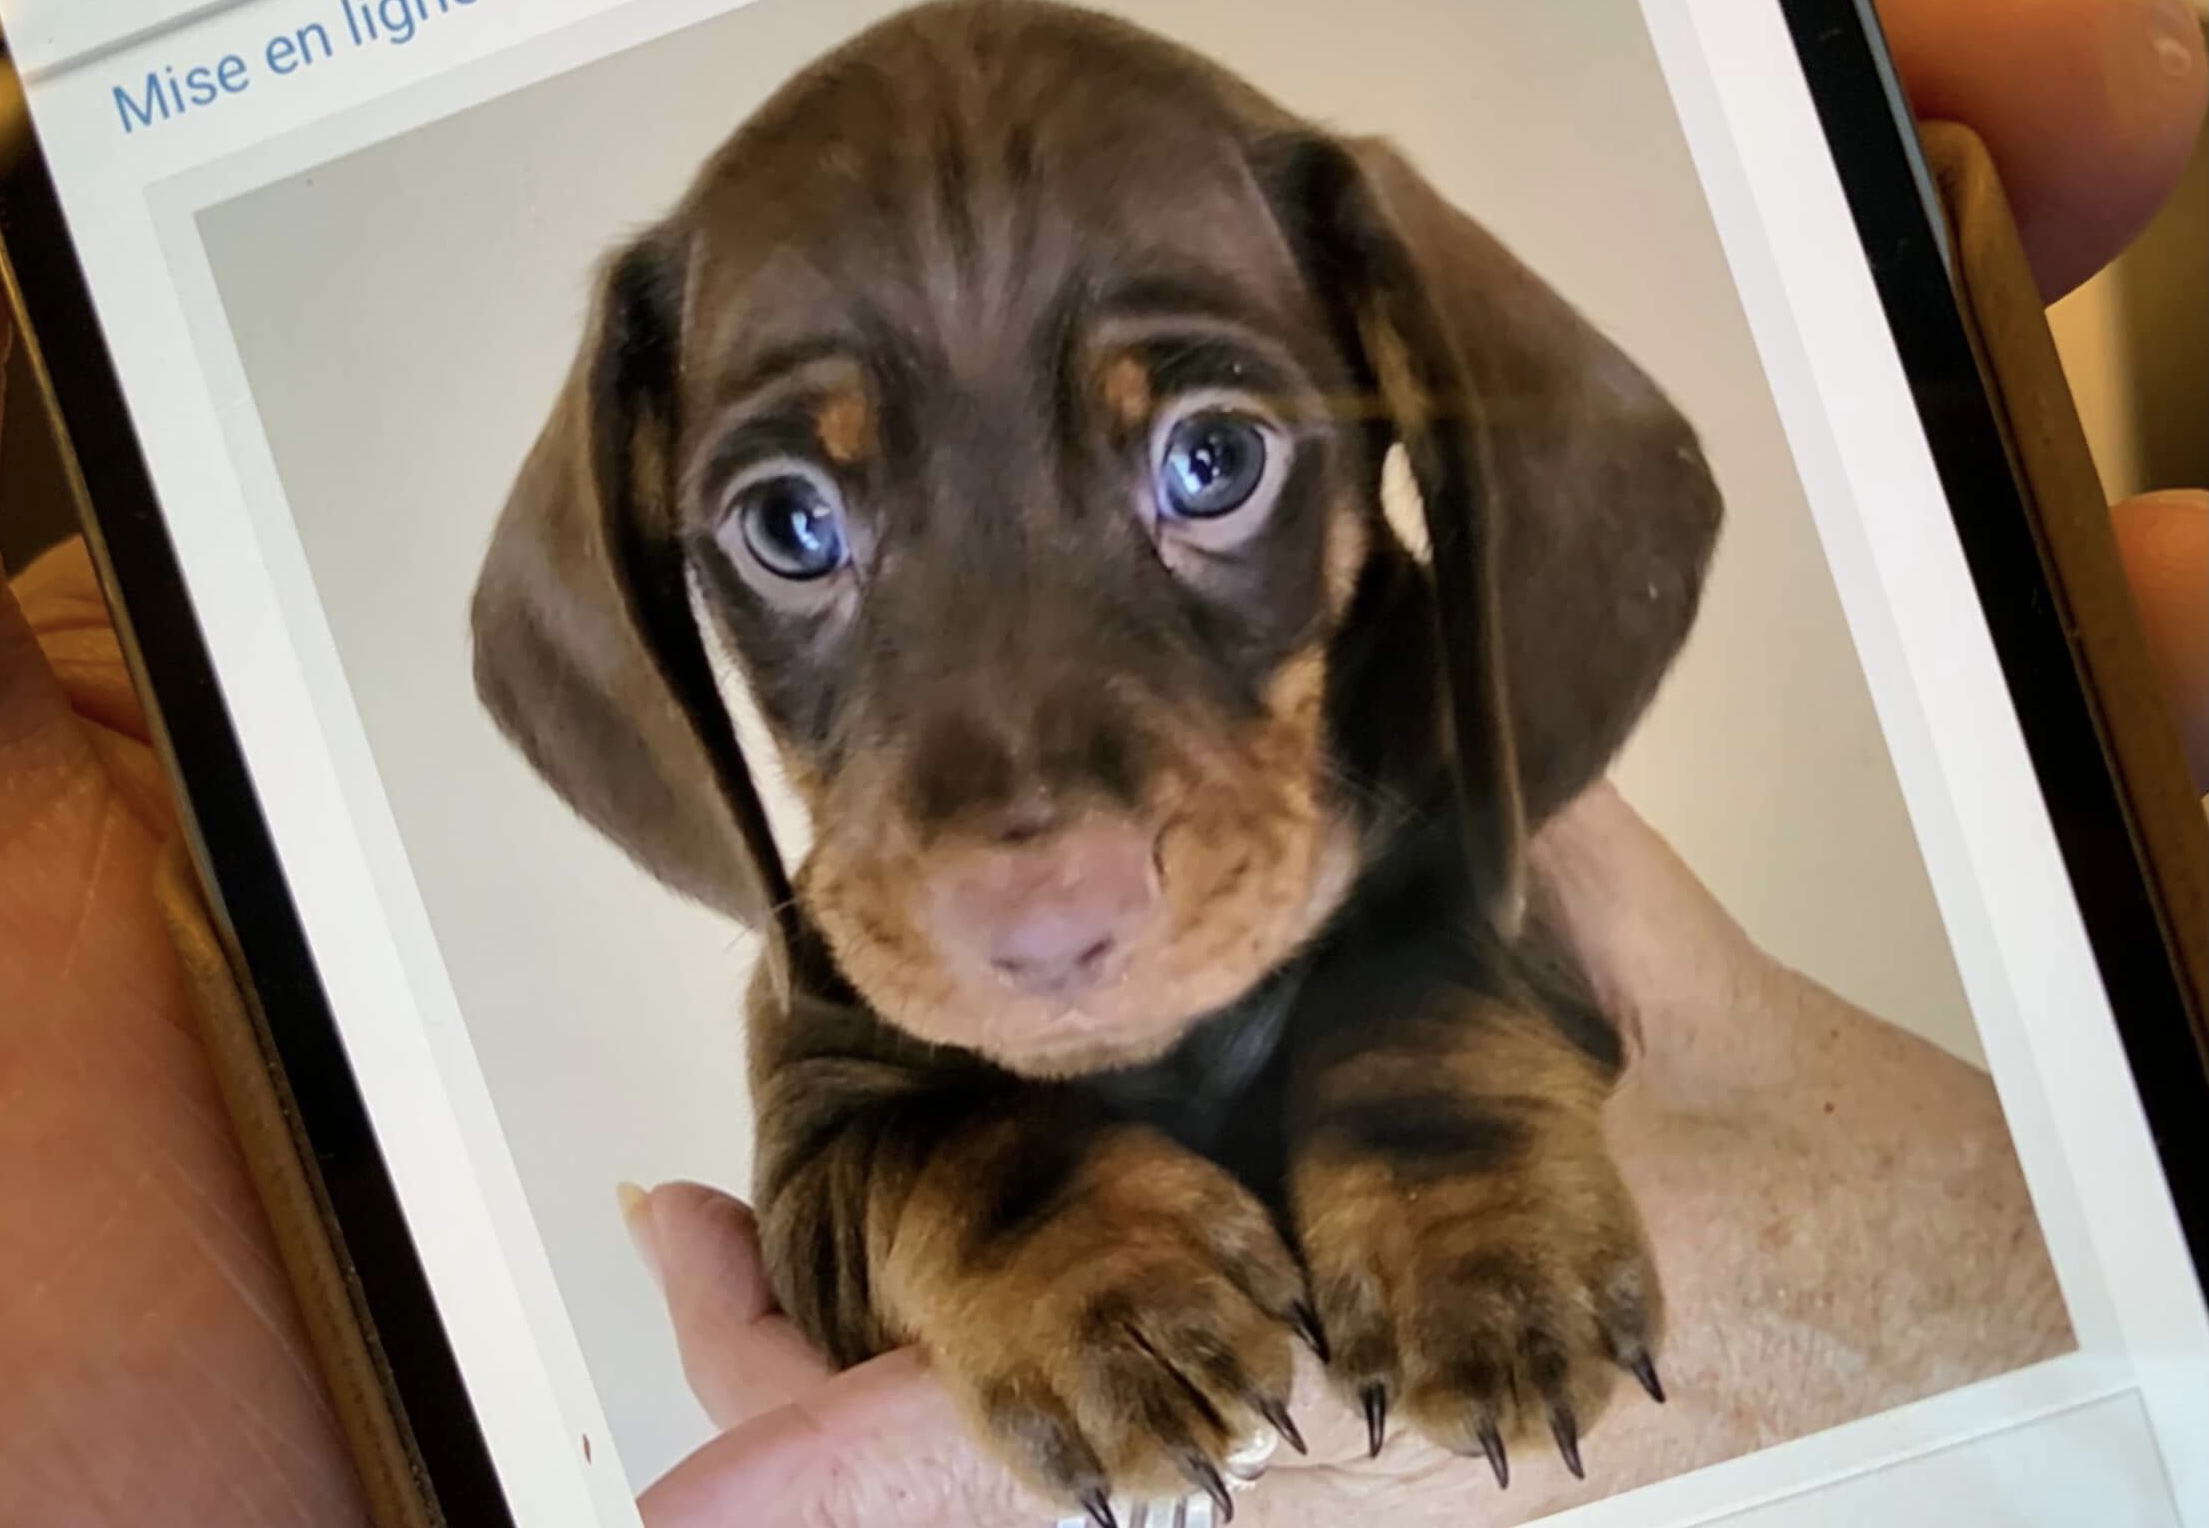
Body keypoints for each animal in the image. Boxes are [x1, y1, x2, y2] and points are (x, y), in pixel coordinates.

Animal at [470, 0, 1723, 1519]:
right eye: (788, 525)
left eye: (1215, 458)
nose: (1048, 924)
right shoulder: (820, 1142)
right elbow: (962, 1141)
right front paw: (1111, 1294)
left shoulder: (1478, 871)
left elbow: (1423, 988)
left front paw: (1479, 1251)